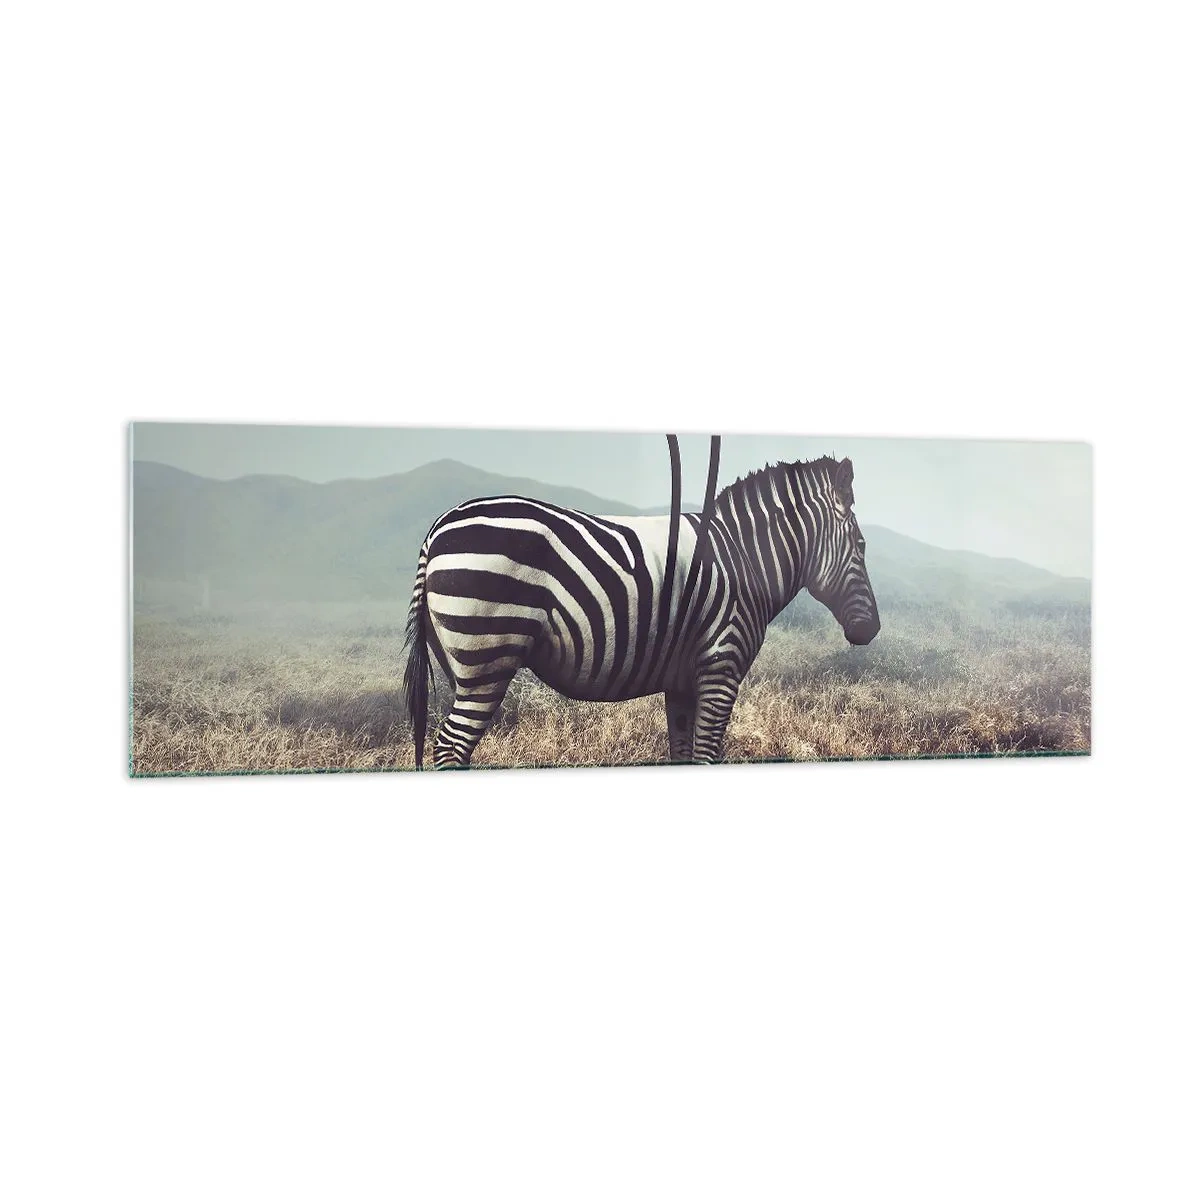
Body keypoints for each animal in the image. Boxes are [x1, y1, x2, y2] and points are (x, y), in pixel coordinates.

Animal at [402, 455, 880, 768]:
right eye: (861, 547)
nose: (871, 630)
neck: (743, 559)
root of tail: (438, 527)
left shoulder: (683, 680)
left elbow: (683, 755)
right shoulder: (720, 669)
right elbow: (706, 757)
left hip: (461, 666)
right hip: (487, 657)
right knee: (451, 746)